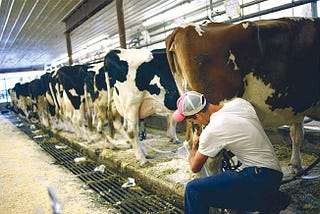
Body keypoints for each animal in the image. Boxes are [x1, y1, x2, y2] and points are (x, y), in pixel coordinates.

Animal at [165, 17, 320, 173]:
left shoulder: (298, 106)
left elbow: (297, 133)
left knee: (190, 145)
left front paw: (296, 165)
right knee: (211, 158)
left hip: (190, 110)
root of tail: (181, 28)